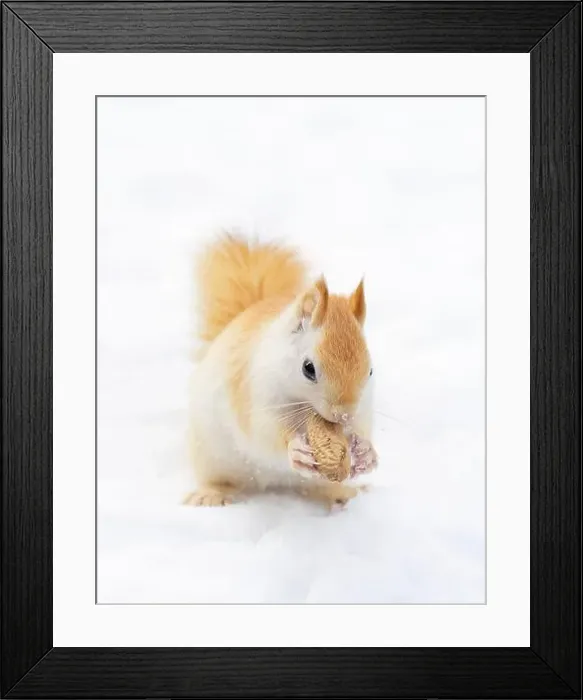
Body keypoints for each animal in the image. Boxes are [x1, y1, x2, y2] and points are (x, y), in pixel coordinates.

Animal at [184, 233, 378, 511]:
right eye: (308, 369)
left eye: (370, 370)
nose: (342, 415)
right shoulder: (257, 396)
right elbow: (266, 433)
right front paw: (296, 450)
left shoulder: (363, 407)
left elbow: (360, 427)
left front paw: (366, 452)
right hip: (212, 454)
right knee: (222, 480)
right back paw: (210, 495)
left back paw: (344, 494)